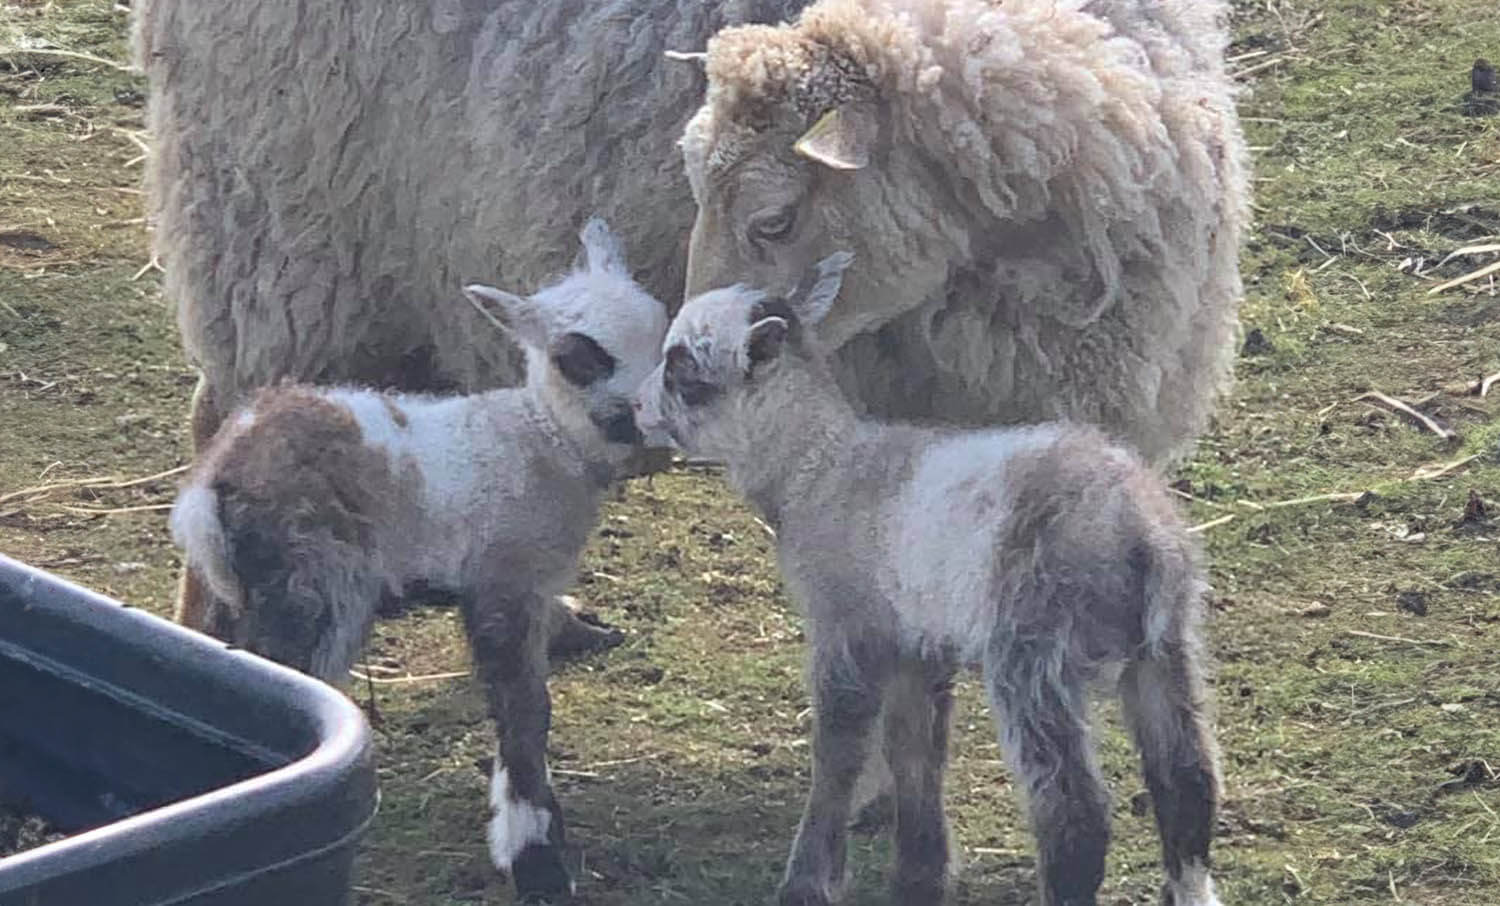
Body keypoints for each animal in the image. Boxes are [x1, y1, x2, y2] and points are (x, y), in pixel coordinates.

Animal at [169, 219, 669, 899]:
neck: (543, 438)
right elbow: (525, 712)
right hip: (314, 586)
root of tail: (213, 486)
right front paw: (535, 855)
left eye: (663, 326)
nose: (658, 409)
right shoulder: (502, 580)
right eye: (579, 357)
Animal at [633, 253, 1225, 906]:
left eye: (682, 368)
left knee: (1074, 815)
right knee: (1188, 780)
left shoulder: (847, 628)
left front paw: (809, 880)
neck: (817, 468)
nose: (633, 407)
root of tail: (1138, 533)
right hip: (1166, 647)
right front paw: (920, 875)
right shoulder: (916, 645)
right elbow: (914, 750)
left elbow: (839, 754)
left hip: (1033, 654)